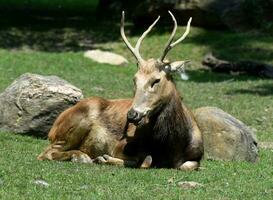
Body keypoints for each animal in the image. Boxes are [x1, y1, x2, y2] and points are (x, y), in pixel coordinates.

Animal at [38, 10, 204, 170]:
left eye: (156, 80)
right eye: (135, 79)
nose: (132, 114)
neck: (171, 146)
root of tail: (52, 129)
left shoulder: (197, 157)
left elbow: (188, 166)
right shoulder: (120, 146)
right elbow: (145, 160)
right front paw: (103, 158)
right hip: (75, 124)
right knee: (46, 153)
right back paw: (82, 157)